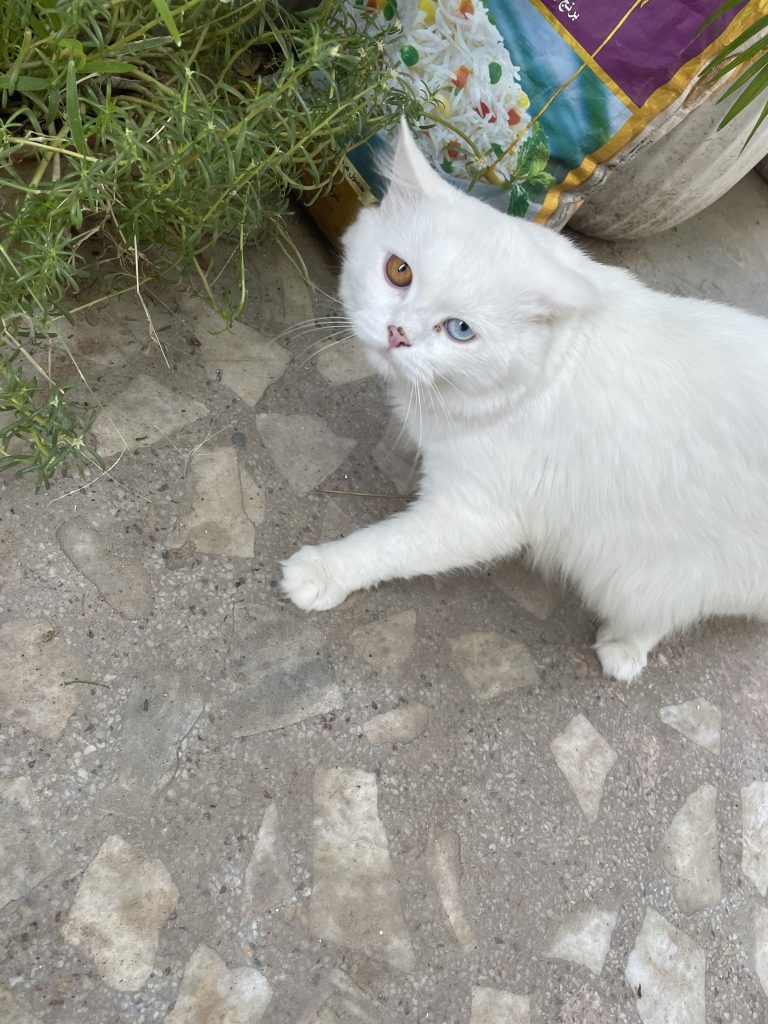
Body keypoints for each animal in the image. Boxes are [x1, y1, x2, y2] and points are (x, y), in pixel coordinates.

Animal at [280, 117, 768, 679]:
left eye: (461, 330)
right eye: (398, 271)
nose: (398, 334)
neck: (544, 374)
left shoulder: (478, 514)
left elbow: (391, 545)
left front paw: (324, 570)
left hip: (668, 566)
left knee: (664, 607)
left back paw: (622, 651)